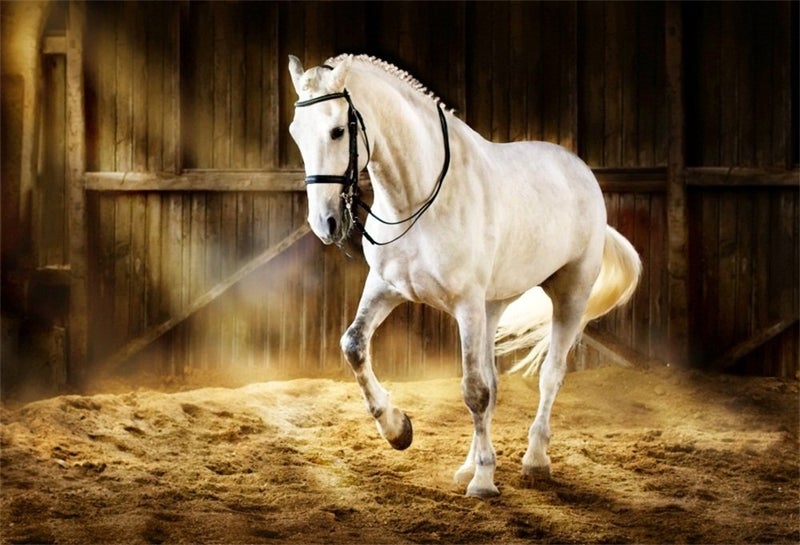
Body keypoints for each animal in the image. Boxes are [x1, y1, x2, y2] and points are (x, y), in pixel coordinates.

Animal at [287, 54, 641, 498]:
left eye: (337, 131)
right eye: (296, 133)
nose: (325, 224)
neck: (418, 200)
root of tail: (581, 170)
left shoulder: (466, 305)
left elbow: (474, 391)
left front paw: (485, 482)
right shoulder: (386, 288)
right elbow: (353, 345)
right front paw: (398, 430)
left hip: (569, 293)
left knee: (550, 376)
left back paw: (534, 460)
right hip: (493, 306)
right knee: (494, 382)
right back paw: (468, 464)